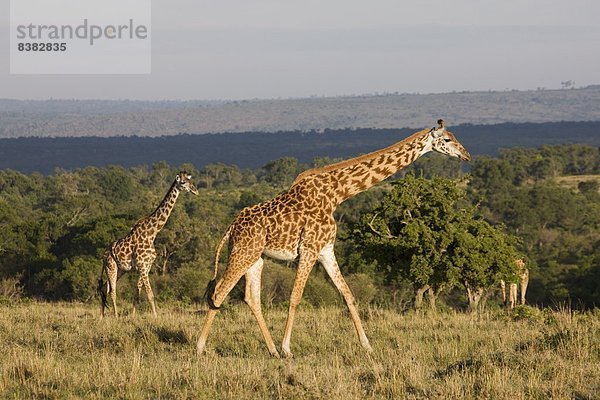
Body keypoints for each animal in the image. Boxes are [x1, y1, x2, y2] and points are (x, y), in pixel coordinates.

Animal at [99, 170, 199, 318]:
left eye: (190, 180)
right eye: (182, 182)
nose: (195, 190)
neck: (152, 233)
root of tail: (104, 255)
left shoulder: (147, 266)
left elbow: (137, 293)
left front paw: (133, 315)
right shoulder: (142, 265)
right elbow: (150, 294)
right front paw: (156, 317)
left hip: (121, 269)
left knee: (104, 287)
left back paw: (101, 316)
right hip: (111, 267)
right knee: (112, 291)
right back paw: (115, 316)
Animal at [199, 119, 472, 356]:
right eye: (448, 139)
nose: (466, 155)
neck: (337, 193)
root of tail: (231, 228)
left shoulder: (326, 249)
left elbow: (347, 294)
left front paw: (367, 345)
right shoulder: (309, 248)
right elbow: (295, 297)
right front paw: (288, 349)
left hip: (256, 257)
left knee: (251, 298)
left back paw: (272, 350)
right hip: (243, 252)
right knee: (220, 292)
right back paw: (201, 347)